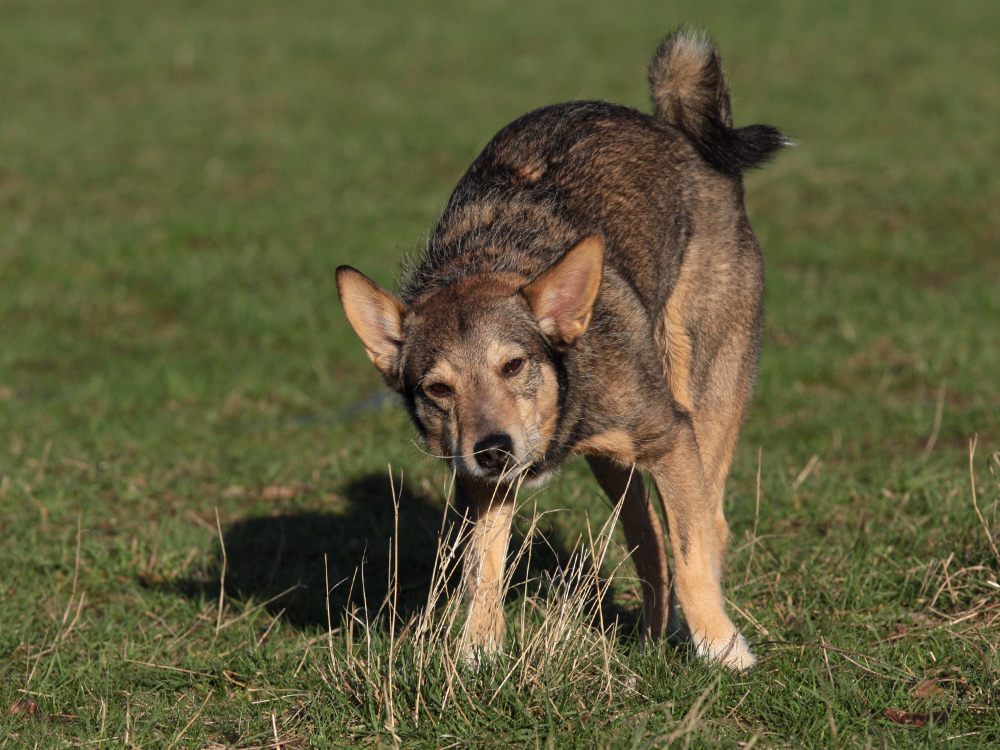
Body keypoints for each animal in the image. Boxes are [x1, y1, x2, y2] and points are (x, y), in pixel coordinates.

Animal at [340, 29, 784, 672]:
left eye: (514, 365)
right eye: (438, 389)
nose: (493, 449)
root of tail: (676, 132)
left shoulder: (671, 438)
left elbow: (693, 549)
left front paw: (724, 647)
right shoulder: (481, 485)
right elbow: (483, 568)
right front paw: (478, 651)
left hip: (704, 399)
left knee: (710, 526)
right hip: (614, 464)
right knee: (647, 538)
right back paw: (652, 638)